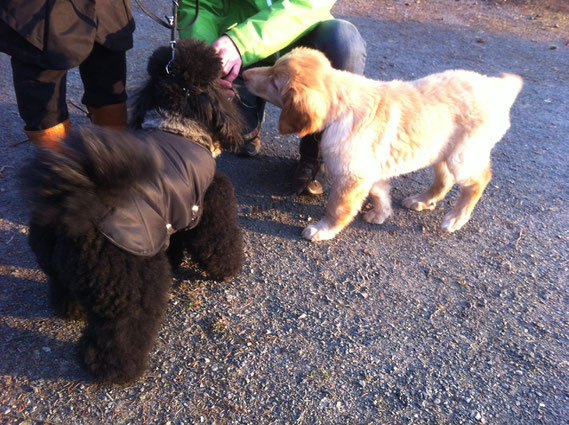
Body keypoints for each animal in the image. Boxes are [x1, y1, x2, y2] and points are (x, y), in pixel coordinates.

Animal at [21, 40, 244, 384]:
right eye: (217, 76)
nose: (233, 83)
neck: (177, 126)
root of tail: (77, 209)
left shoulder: (171, 214)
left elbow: (174, 243)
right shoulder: (208, 203)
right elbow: (220, 243)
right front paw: (227, 269)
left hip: (60, 268)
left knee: (62, 289)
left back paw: (72, 311)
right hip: (133, 283)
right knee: (121, 333)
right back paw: (117, 371)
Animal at [242, 48, 520, 240]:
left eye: (274, 81)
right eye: (271, 67)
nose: (244, 74)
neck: (341, 105)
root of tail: (495, 86)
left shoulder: (351, 176)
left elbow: (337, 207)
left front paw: (323, 229)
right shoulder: (367, 170)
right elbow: (379, 192)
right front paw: (382, 213)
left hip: (462, 156)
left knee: (478, 181)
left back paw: (456, 218)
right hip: (440, 150)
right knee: (444, 180)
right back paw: (422, 200)